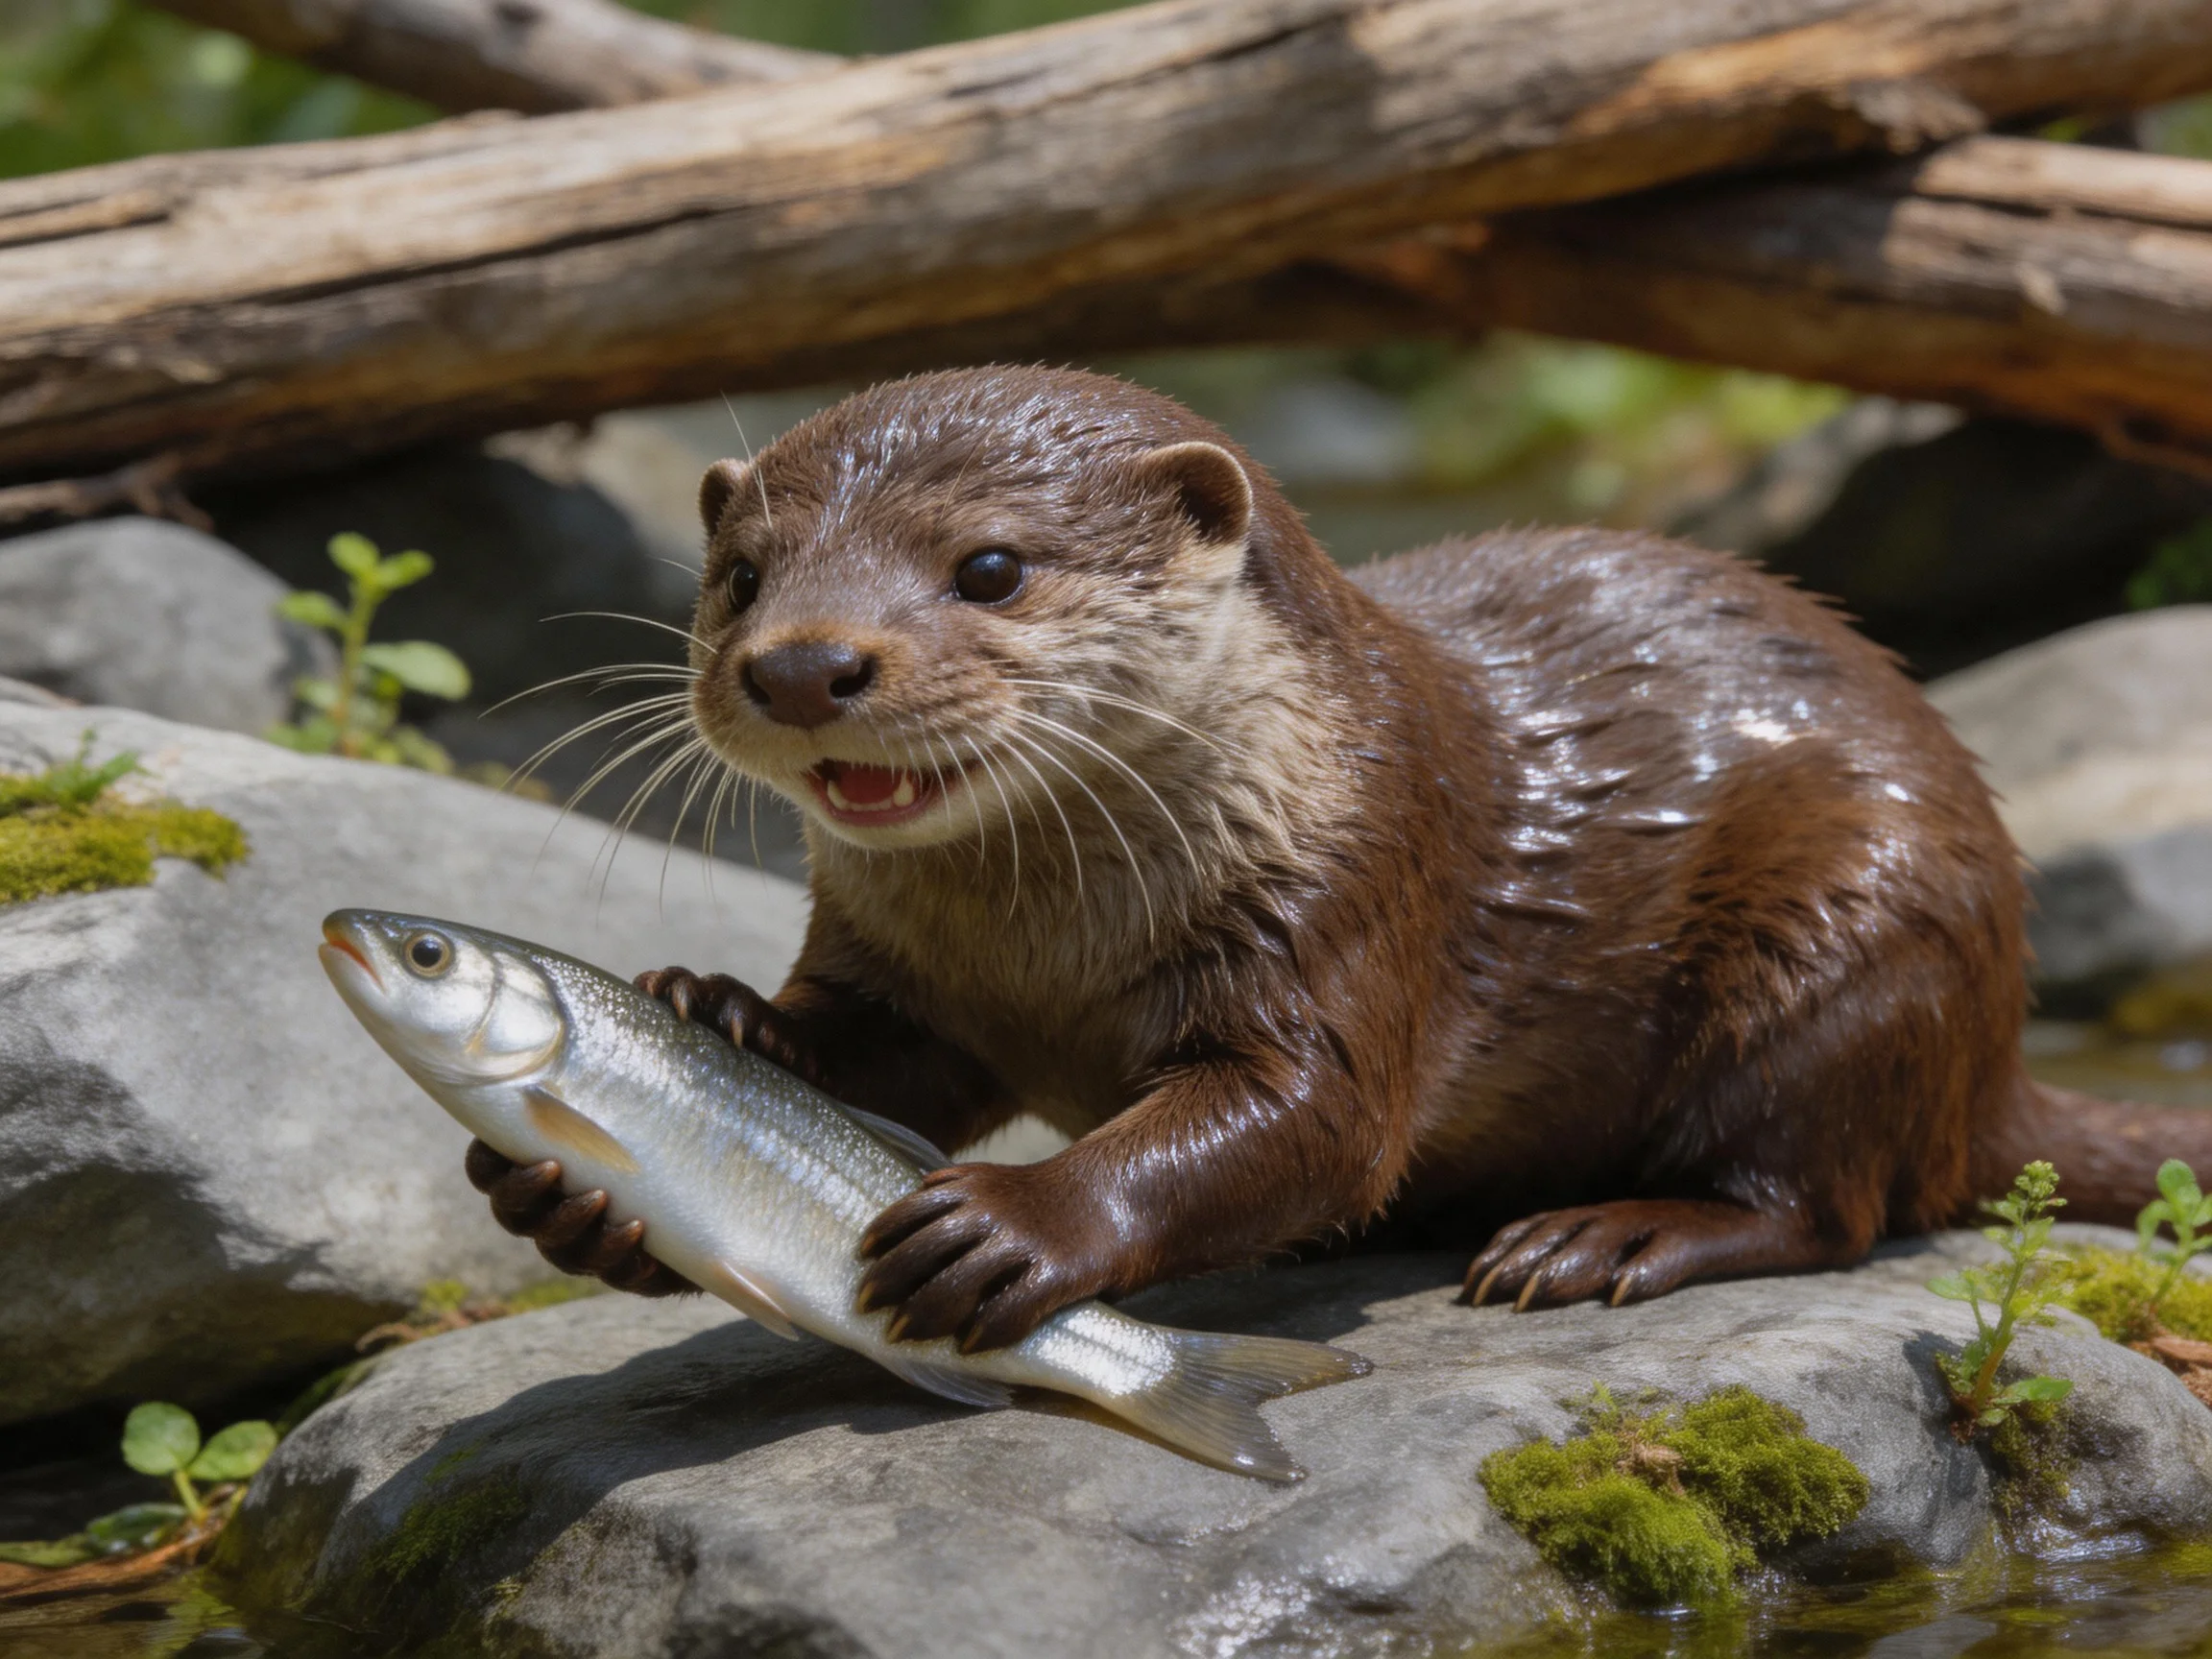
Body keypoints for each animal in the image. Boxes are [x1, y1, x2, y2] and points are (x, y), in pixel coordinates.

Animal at [467, 365, 2212, 1353]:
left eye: (990, 568)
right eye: (740, 575)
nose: (802, 664)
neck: (1048, 953)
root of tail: (1997, 1048)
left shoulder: (1355, 886)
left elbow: (1306, 1118)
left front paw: (1013, 1221)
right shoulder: (898, 970)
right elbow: (872, 1058)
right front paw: (690, 1036)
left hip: (1862, 919)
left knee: (1827, 1195)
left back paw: (1603, 1239)